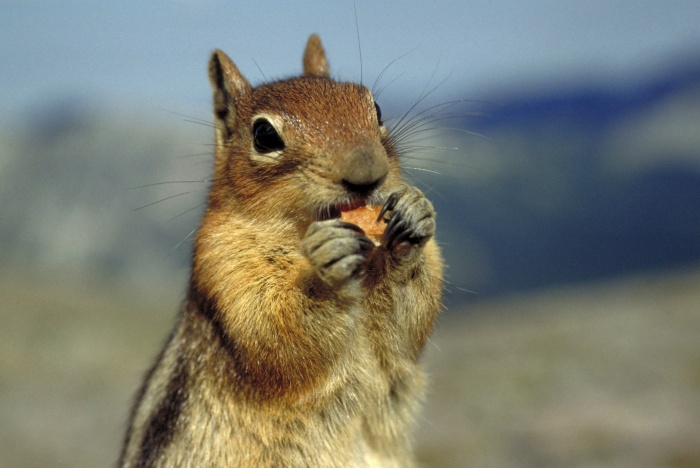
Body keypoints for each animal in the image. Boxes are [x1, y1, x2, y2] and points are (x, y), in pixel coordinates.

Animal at [117, 33, 440, 468]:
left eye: (375, 108)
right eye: (265, 135)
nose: (367, 174)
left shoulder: (397, 353)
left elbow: (408, 329)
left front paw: (412, 217)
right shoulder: (226, 270)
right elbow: (278, 333)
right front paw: (324, 270)